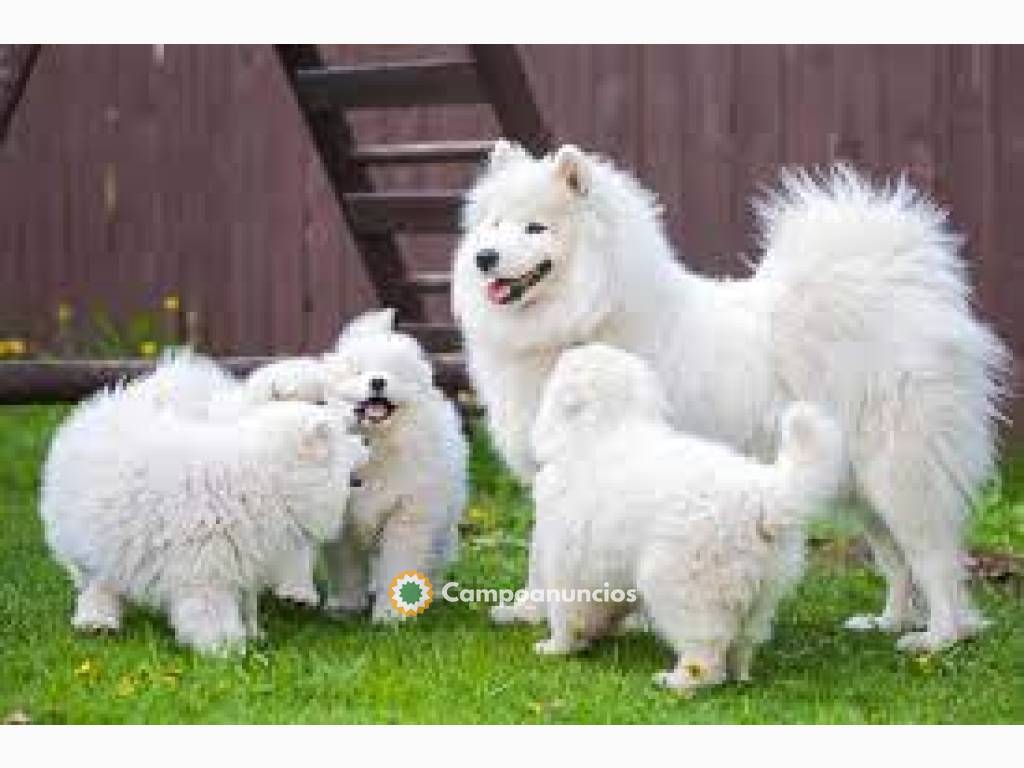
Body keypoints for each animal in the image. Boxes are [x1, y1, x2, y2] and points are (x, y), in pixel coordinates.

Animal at [39, 385, 368, 655]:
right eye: (347, 436)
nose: (367, 442)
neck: (266, 478)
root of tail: (99, 409)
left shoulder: (243, 559)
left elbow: (247, 603)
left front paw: (253, 635)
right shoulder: (206, 569)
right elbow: (213, 612)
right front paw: (225, 649)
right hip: (87, 543)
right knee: (96, 585)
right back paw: (97, 621)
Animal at [319, 309, 468, 622]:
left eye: (395, 374)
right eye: (359, 372)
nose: (378, 381)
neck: (374, 446)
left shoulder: (406, 518)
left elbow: (397, 565)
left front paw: (391, 615)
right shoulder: (343, 526)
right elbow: (348, 570)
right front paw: (347, 606)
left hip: (443, 519)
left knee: (435, 558)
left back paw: (434, 592)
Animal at [454, 140, 1007, 651]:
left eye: (536, 228)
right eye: (494, 225)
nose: (484, 258)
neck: (587, 316)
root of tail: (912, 292)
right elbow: (538, 552)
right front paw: (527, 610)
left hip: (901, 474)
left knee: (934, 558)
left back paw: (939, 638)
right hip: (861, 486)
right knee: (895, 558)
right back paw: (889, 621)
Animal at [524, 342, 843, 692]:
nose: (569, 347)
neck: (606, 428)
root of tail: (766, 495)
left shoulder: (567, 559)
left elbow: (567, 613)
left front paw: (556, 648)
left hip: (683, 582)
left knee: (705, 652)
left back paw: (677, 681)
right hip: (762, 590)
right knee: (741, 642)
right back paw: (739, 674)